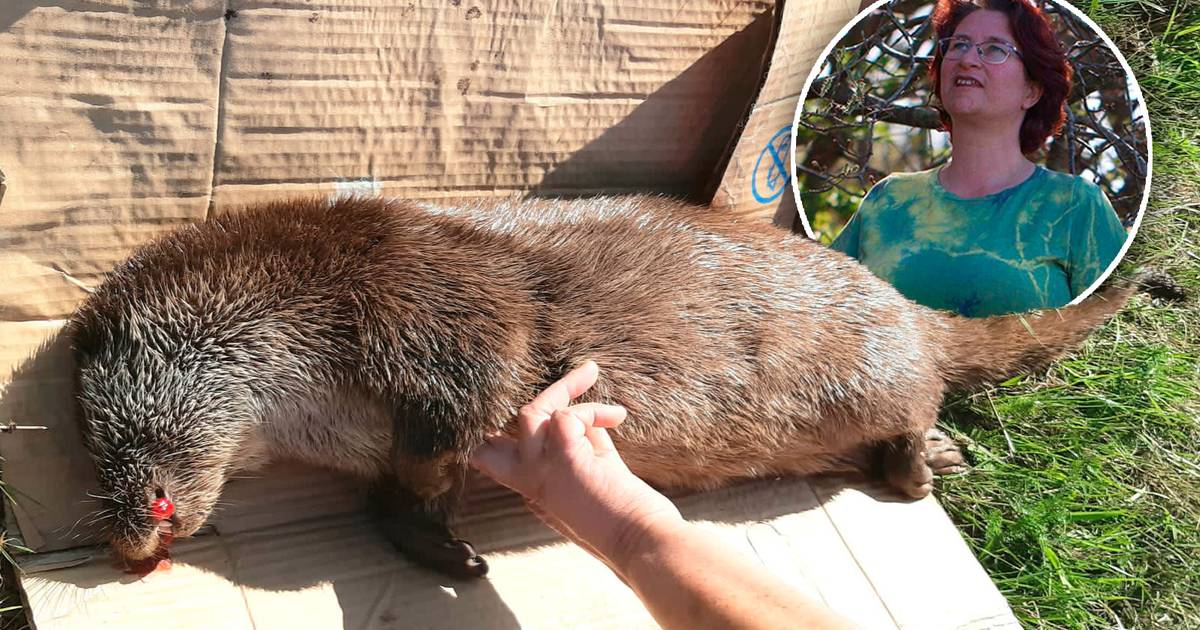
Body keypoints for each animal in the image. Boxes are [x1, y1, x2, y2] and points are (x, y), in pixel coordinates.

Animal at [69, 195, 1174, 579]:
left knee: (922, 398)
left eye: (102, 436)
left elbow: (460, 410)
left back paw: (925, 462)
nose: (124, 538)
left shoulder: (430, 304)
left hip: (885, 362)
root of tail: (904, 304)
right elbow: (394, 502)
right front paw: (445, 552)